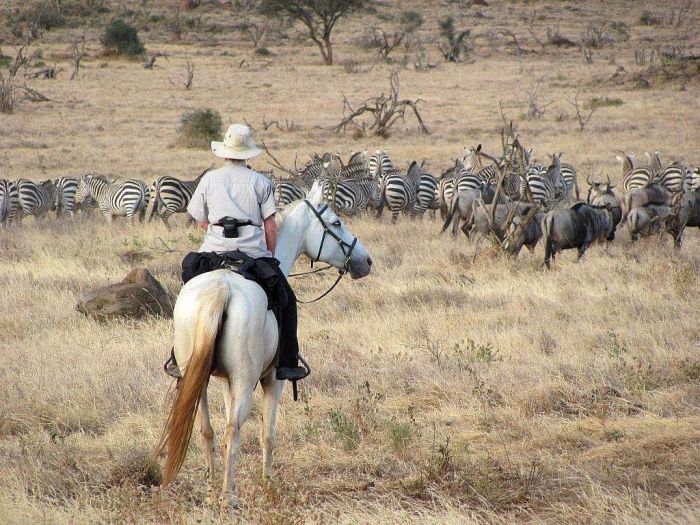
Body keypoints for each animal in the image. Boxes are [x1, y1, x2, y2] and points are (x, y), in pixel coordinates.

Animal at [158, 182, 372, 510]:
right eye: (336, 223)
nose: (366, 261)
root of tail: (221, 289)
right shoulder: (273, 379)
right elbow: (267, 433)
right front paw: (268, 483)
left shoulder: (226, 382)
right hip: (248, 380)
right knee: (233, 430)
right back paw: (228, 497)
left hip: (196, 378)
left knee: (207, 430)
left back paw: (212, 493)